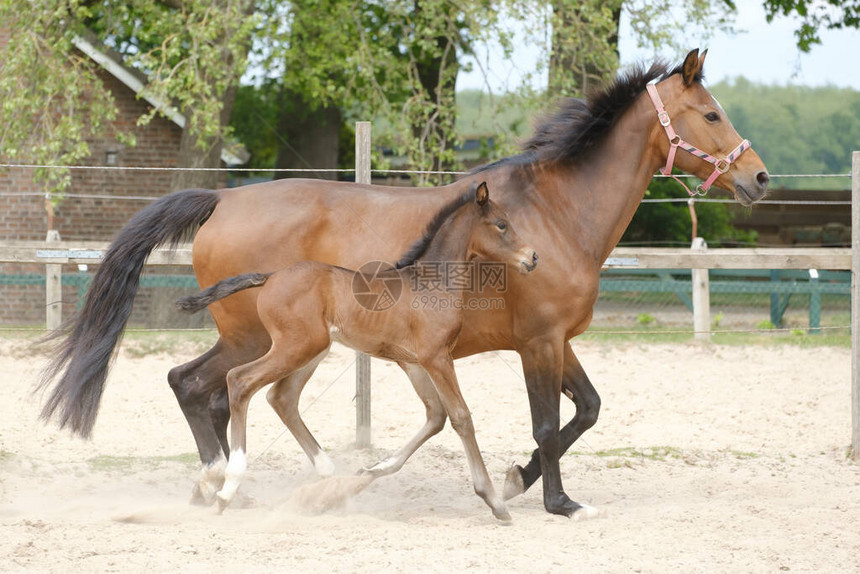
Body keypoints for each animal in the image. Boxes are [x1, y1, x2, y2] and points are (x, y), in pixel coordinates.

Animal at [38, 48, 772, 516]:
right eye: (711, 114)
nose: (759, 177)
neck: (556, 213)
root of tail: (221, 199)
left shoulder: (559, 341)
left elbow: (585, 411)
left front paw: (514, 482)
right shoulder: (537, 341)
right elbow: (545, 421)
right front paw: (554, 500)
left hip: (273, 342)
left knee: (209, 390)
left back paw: (236, 486)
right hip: (257, 338)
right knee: (205, 388)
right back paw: (228, 481)